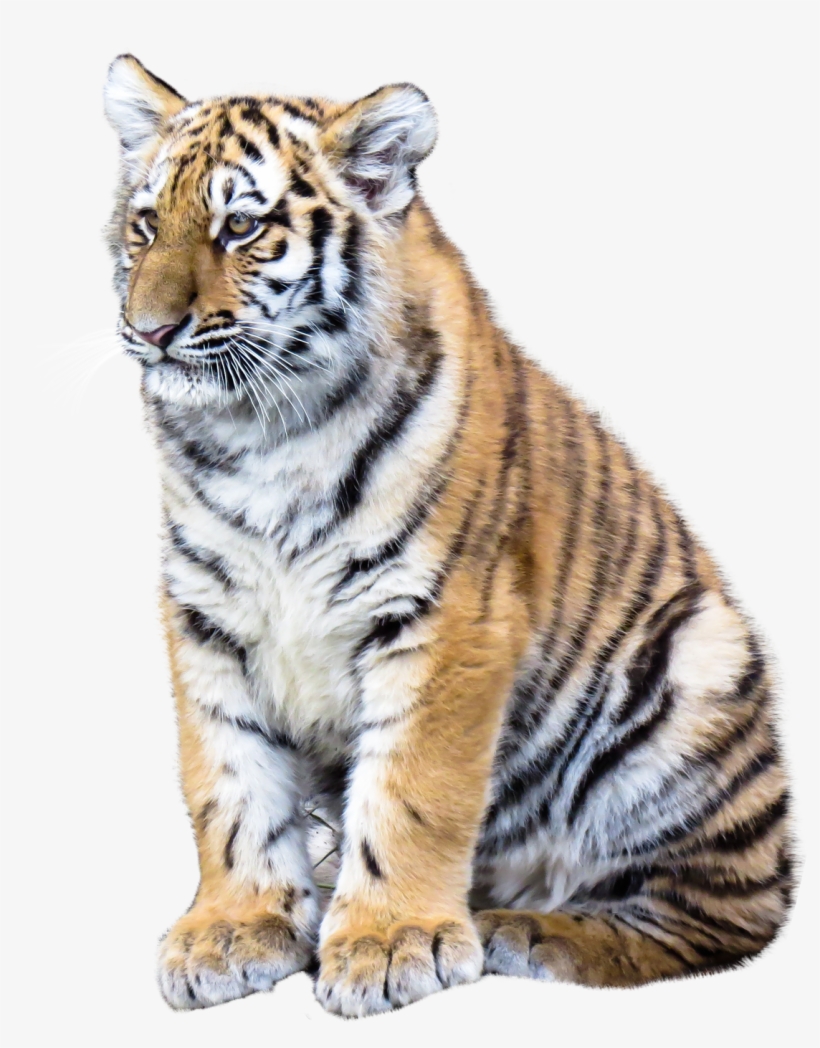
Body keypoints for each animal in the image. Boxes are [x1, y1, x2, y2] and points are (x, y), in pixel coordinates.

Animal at [103, 54, 794, 1018]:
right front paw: (235, 929)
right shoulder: (206, 615)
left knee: (718, 914)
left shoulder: (445, 615)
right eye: (144, 225)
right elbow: (227, 781)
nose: (149, 330)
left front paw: (391, 943)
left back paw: (528, 931)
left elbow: (411, 790)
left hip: (698, 666)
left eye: (240, 226)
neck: (261, 436)